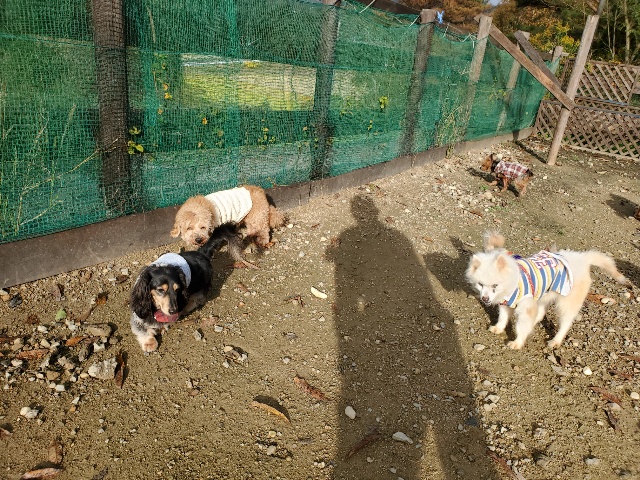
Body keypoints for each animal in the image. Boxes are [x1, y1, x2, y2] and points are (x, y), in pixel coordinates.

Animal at [130, 224, 240, 352]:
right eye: (160, 290)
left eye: (177, 289)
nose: (174, 311)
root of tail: (202, 253)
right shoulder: (138, 311)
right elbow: (141, 328)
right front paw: (149, 342)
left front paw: (161, 329)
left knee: (195, 300)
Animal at [466, 232, 629, 350]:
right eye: (480, 284)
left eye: (495, 285)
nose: (485, 299)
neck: (512, 282)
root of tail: (583, 258)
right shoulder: (507, 303)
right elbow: (503, 318)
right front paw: (498, 328)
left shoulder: (525, 307)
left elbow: (521, 326)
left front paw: (517, 343)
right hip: (546, 293)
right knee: (542, 311)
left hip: (567, 302)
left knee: (566, 322)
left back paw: (555, 341)